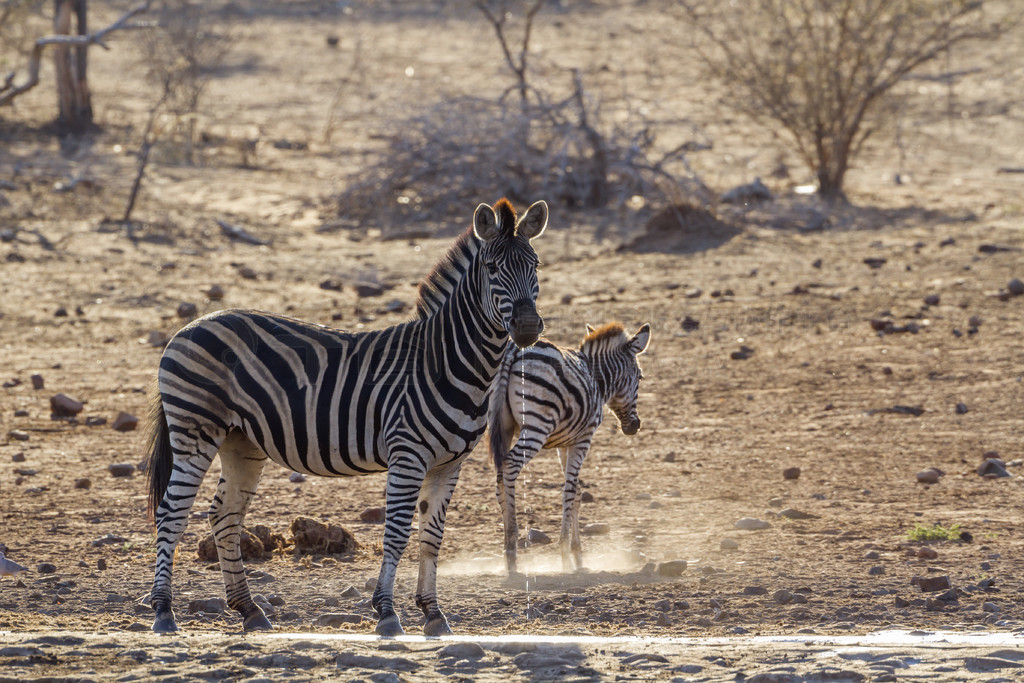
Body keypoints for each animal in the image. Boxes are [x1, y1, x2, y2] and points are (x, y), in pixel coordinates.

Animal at [146, 197, 552, 634]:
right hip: (195, 431)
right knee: (171, 513)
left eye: (536, 265)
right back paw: (164, 611)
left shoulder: (449, 464)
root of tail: (188, 327)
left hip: (242, 443)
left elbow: (431, 537)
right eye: (492, 268)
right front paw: (387, 613)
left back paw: (249, 610)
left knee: (225, 516)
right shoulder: (408, 455)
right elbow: (396, 534)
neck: (446, 360)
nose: (527, 327)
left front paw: (433, 613)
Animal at [485, 321, 647, 577]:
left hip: (502, 423)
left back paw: (506, 547)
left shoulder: (565, 444)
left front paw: (577, 552)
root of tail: (512, 353)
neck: (596, 378)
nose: (635, 426)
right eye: (640, 377)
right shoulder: (584, 438)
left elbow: (577, 493)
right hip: (537, 425)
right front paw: (564, 553)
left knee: (500, 474)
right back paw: (512, 545)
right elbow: (569, 492)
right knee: (510, 466)